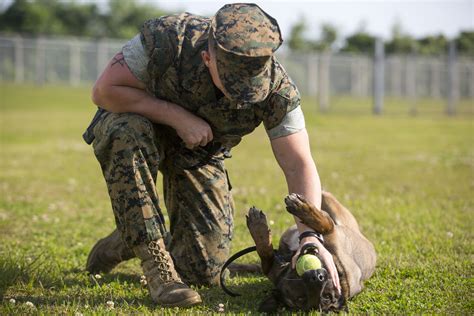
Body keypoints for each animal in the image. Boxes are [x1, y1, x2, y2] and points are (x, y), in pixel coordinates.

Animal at [243, 191, 376, 312]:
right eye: (301, 298)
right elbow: (265, 253)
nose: (317, 277)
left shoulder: (332, 233)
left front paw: (302, 207)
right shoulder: (273, 269)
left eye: (326, 296)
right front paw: (259, 227)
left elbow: (327, 225)